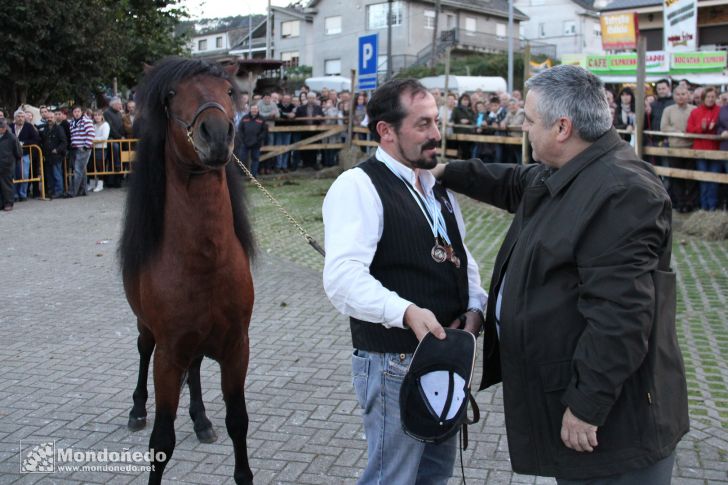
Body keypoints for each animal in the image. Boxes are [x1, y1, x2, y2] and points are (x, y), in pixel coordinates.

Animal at [118, 57, 255, 484]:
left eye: (228, 91)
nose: (217, 134)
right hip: (147, 330)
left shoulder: (236, 349)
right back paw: (137, 410)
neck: (205, 262)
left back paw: (201, 419)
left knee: (194, 371)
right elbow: (162, 440)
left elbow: (238, 421)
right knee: (141, 350)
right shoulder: (168, 355)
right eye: (171, 95)